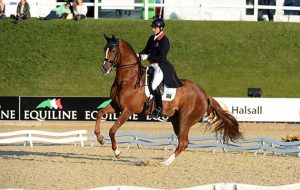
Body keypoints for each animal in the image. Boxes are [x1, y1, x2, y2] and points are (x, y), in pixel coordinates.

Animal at [95, 35, 243, 166]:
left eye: (114, 50)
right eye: (104, 49)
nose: (104, 69)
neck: (128, 79)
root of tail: (204, 95)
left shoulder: (128, 111)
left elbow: (112, 130)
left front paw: (117, 152)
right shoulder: (116, 106)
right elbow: (100, 114)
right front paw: (100, 139)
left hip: (185, 120)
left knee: (183, 142)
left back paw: (164, 163)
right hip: (176, 120)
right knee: (182, 142)